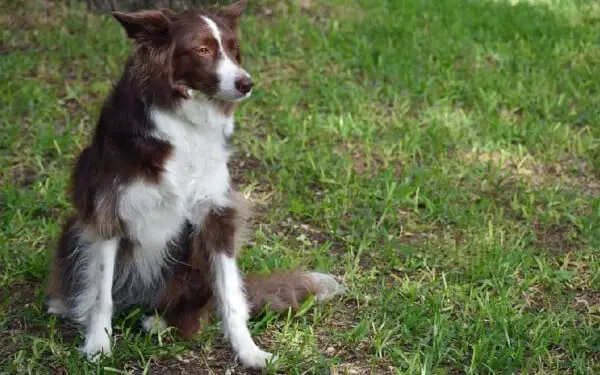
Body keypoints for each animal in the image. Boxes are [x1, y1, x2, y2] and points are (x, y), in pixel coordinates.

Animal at [44, 0, 344, 370]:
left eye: (233, 49)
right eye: (202, 50)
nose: (247, 83)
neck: (184, 119)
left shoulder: (217, 214)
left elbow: (231, 296)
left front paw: (249, 351)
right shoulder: (108, 211)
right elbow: (100, 293)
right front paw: (97, 345)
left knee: (200, 309)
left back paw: (160, 322)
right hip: (74, 224)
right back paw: (66, 304)